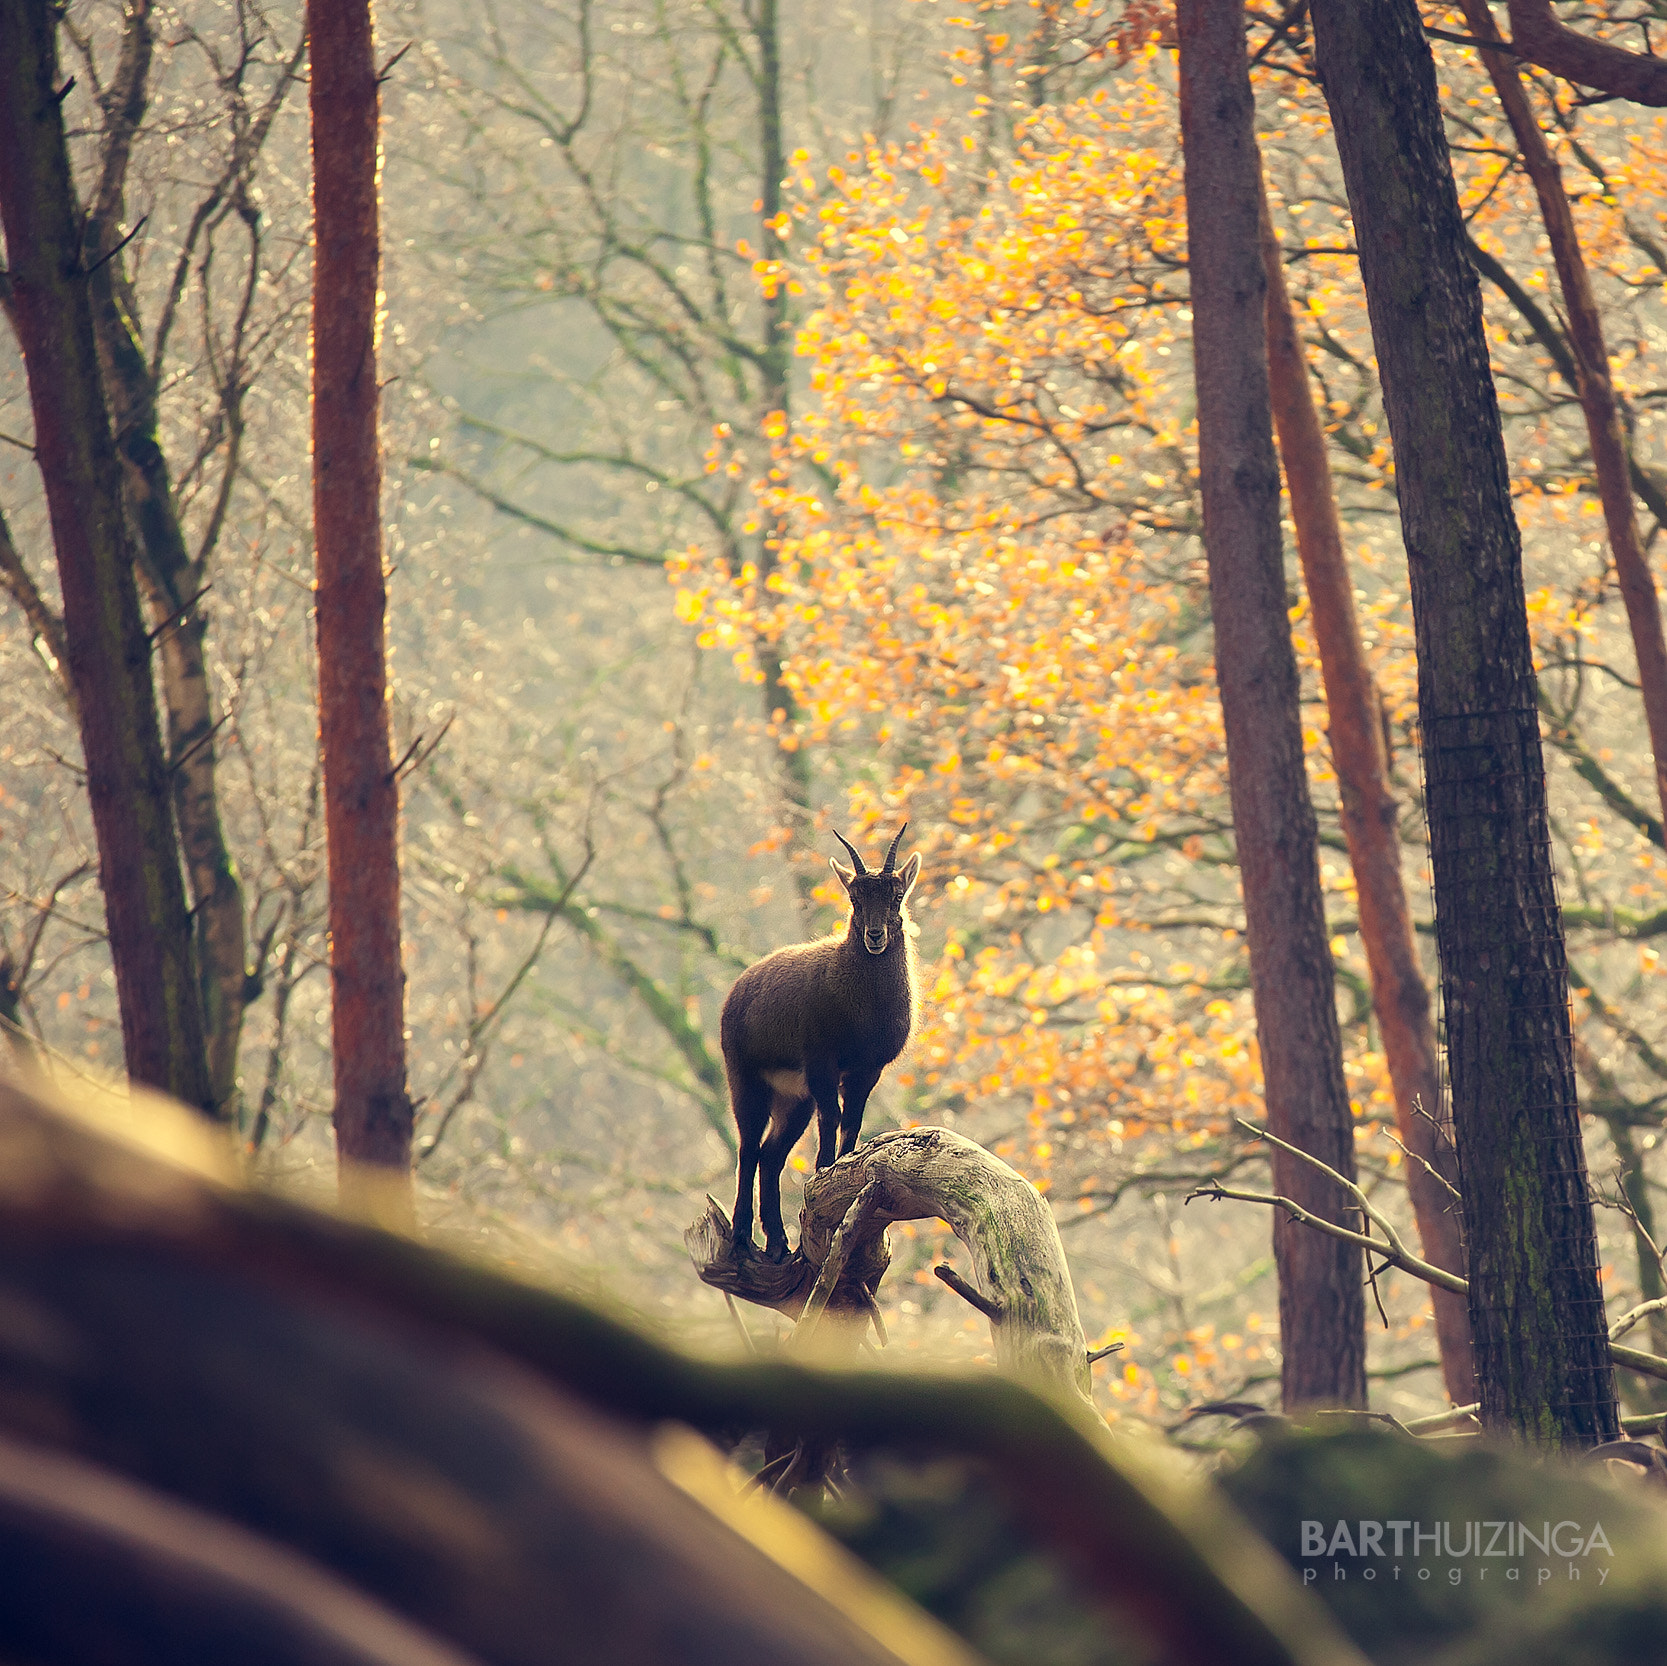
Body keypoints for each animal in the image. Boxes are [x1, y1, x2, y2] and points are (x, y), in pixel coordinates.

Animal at [720, 827, 920, 1254]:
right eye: (854, 898)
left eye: (896, 896)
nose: (874, 936)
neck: (866, 1008)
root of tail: (738, 989)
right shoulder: (820, 1061)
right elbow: (833, 1116)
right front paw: (824, 1168)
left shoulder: (867, 1068)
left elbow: (853, 1120)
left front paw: (843, 1167)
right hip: (746, 1078)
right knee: (749, 1147)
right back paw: (742, 1235)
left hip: (794, 1098)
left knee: (770, 1155)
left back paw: (778, 1241)